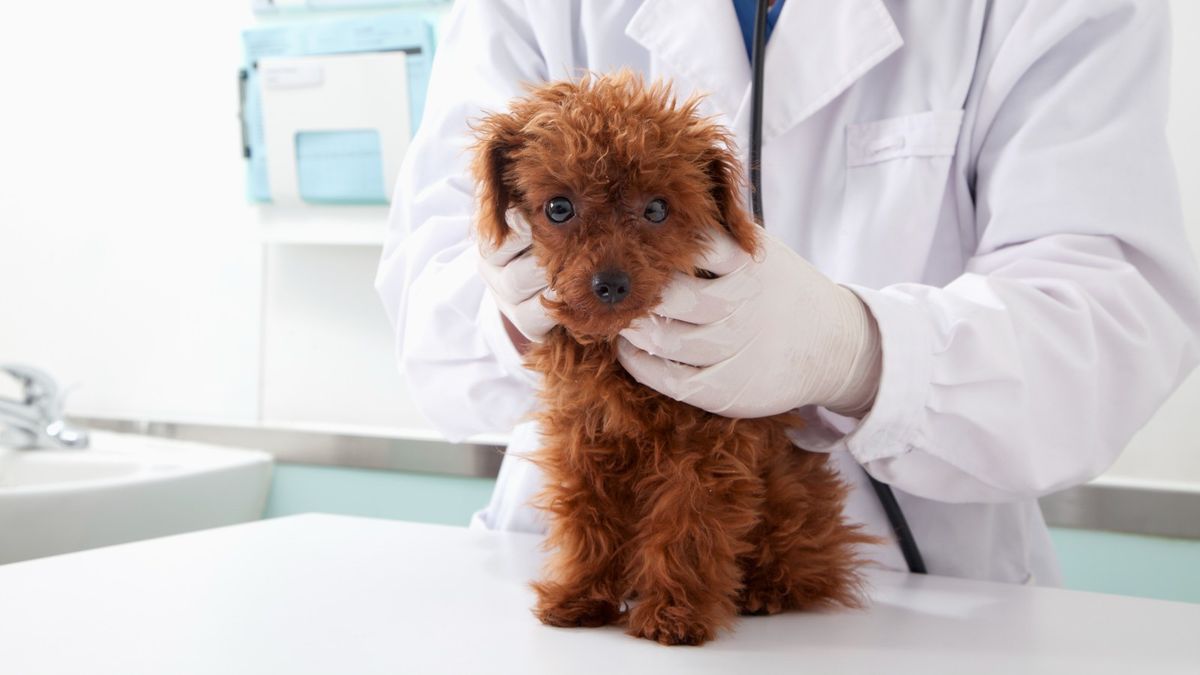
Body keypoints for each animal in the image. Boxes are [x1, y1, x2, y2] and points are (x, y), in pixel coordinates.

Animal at [468, 70, 873, 643]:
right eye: (558, 208)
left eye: (657, 209)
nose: (611, 284)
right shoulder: (583, 440)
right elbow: (587, 521)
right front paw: (580, 597)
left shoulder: (707, 448)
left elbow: (689, 527)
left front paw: (674, 615)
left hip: (792, 498)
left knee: (809, 562)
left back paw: (765, 592)